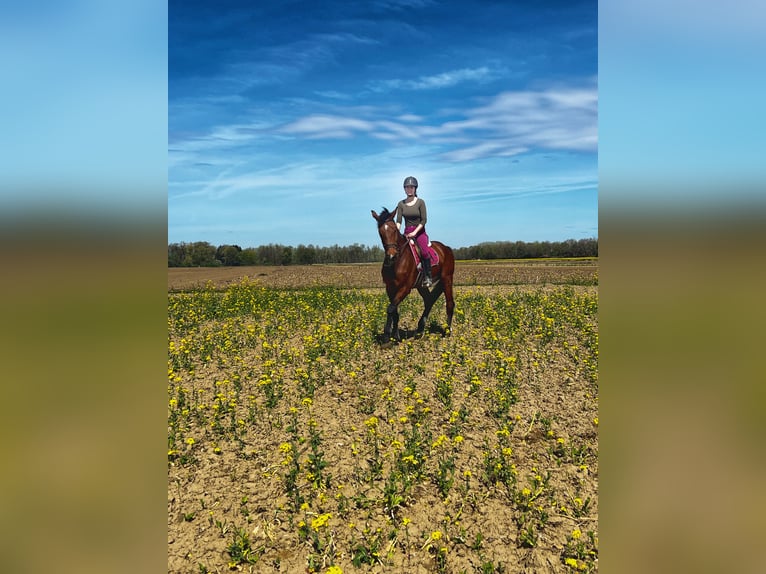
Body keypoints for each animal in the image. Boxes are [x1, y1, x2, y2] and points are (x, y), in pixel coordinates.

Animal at [372, 208, 456, 346]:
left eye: (394, 230)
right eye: (381, 232)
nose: (391, 256)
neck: (398, 261)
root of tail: (446, 248)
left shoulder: (405, 288)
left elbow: (390, 309)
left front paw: (386, 337)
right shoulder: (390, 288)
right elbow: (394, 311)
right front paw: (395, 336)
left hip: (447, 278)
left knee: (450, 303)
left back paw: (447, 331)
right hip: (422, 286)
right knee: (429, 301)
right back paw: (420, 330)